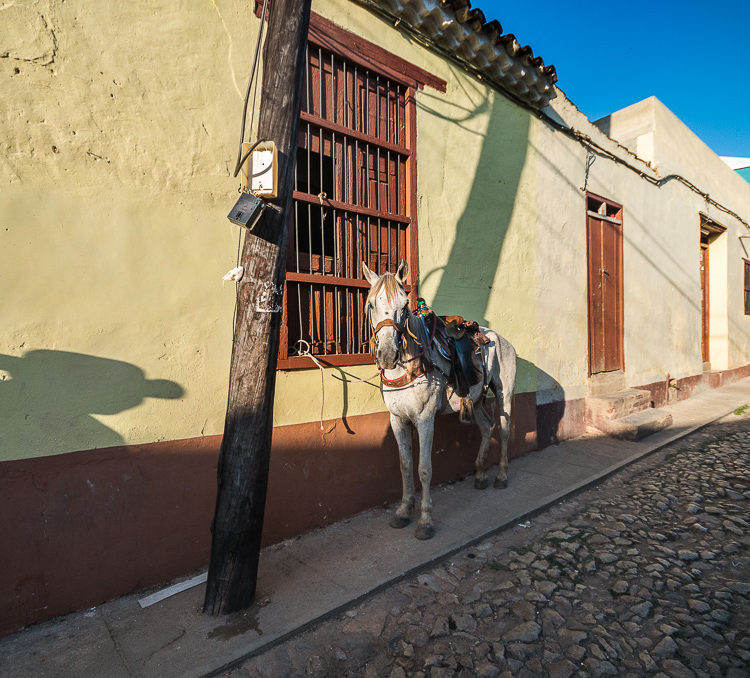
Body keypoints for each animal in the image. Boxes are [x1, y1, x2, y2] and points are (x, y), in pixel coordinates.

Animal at [364, 262, 516, 540]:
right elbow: (405, 465)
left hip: (504, 394)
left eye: (405, 304)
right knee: (487, 426)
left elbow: (424, 468)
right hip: (476, 400)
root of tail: (500, 338)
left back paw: (501, 476)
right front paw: (403, 511)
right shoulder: (398, 419)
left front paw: (425, 521)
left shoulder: (425, 419)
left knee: (504, 430)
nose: (388, 354)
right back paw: (480, 475)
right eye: (371, 304)